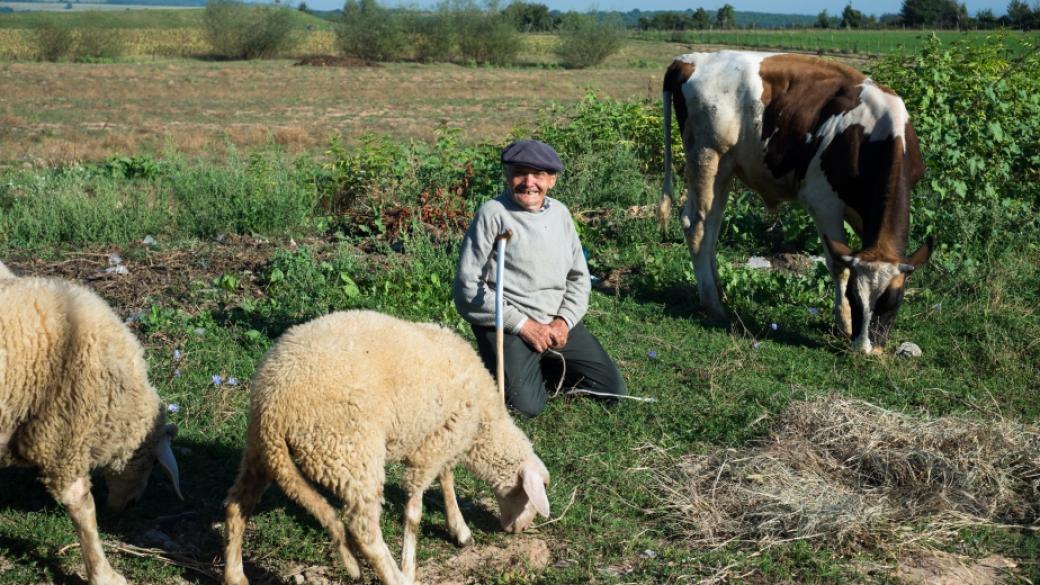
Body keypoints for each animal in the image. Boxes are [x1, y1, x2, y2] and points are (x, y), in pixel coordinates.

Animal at [222, 310, 549, 582]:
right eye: (532, 496)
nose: (516, 530)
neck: (484, 420)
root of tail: (275, 401)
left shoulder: (436, 438)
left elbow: (447, 478)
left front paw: (459, 528)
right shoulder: (431, 450)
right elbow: (414, 513)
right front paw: (411, 563)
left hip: (260, 450)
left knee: (237, 504)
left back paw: (235, 575)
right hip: (350, 452)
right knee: (363, 531)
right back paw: (397, 577)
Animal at [661, 49, 940, 349]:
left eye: (891, 302)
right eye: (854, 297)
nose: (866, 350)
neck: (875, 136)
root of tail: (689, 59)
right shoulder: (822, 202)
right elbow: (838, 265)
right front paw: (844, 325)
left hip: (724, 170)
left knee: (710, 228)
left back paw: (719, 293)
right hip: (708, 157)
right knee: (698, 228)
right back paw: (714, 305)